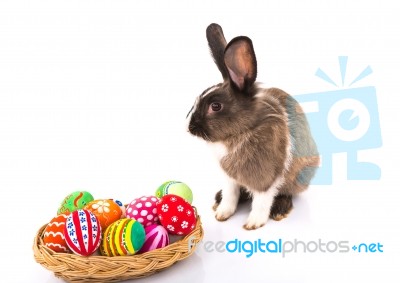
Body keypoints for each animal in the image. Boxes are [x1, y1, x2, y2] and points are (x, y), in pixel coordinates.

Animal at [186, 23, 320, 230]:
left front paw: (253, 224)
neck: (241, 132)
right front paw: (222, 213)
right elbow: (230, 195)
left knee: (287, 192)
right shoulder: (230, 179)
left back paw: (280, 209)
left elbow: (261, 201)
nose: (189, 127)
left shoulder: (266, 178)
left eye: (215, 106)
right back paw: (218, 198)